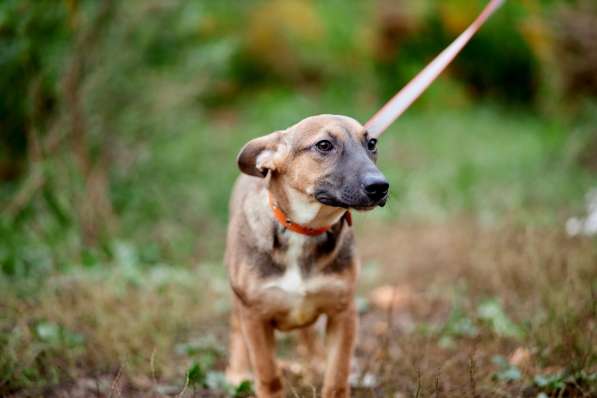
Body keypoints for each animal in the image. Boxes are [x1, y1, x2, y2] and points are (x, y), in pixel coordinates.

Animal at [222, 113, 386, 396]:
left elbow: (337, 375)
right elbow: (268, 374)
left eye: (372, 143)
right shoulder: (254, 317)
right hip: (238, 301)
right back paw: (239, 372)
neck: (304, 230)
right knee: (236, 330)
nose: (380, 186)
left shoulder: (343, 312)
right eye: (324, 145)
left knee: (308, 333)